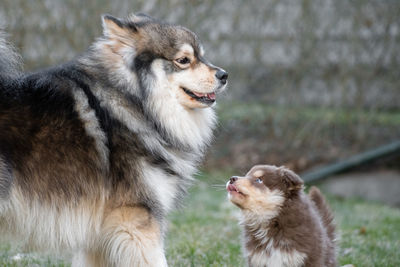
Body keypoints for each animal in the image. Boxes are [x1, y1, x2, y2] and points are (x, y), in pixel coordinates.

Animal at [0, 13, 227, 266]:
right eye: (184, 60)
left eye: (201, 56)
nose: (224, 75)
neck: (133, 103)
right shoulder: (136, 220)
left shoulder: (99, 236)